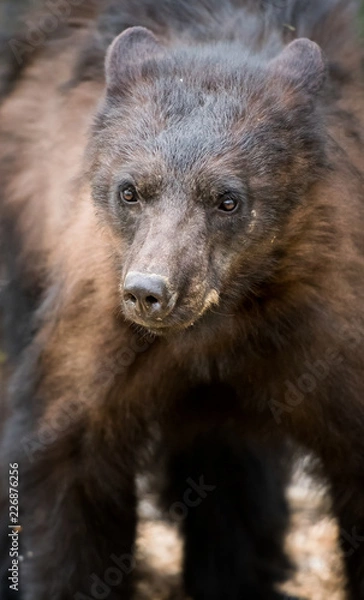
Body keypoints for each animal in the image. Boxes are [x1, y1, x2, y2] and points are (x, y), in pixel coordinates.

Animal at [0, 0, 362, 596]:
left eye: (228, 200)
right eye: (129, 191)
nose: (150, 291)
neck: (224, 320)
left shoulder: (332, 317)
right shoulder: (93, 312)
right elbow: (66, 458)